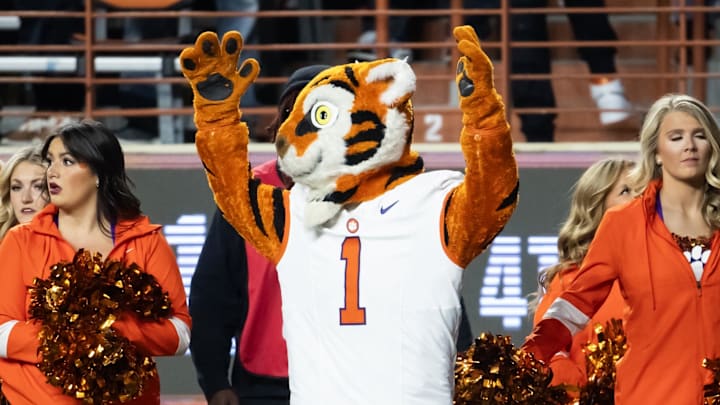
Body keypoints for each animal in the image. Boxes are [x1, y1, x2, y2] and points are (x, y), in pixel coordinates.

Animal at [181, 25, 518, 404]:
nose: (280, 142)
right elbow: (233, 181)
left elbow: (491, 183)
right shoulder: (275, 220)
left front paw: (475, 82)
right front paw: (216, 84)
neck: (359, 191)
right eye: (289, 111)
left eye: (321, 114)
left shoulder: (458, 215)